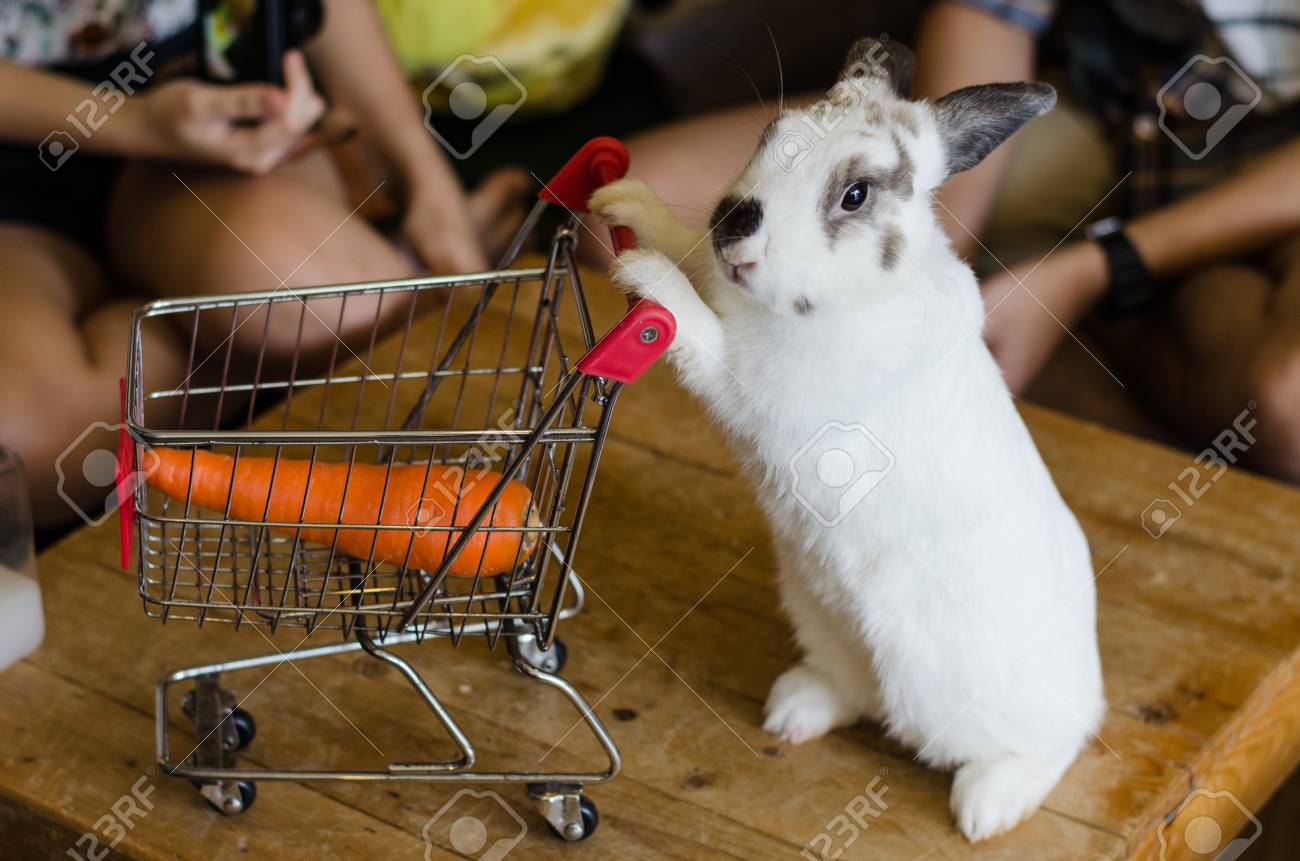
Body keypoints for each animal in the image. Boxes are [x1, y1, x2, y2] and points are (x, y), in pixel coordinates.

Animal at [590, 36, 1105, 842]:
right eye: (769, 136)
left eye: (856, 195)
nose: (736, 221)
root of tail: (1085, 686)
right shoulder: (719, 275)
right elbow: (690, 253)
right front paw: (627, 203)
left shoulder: (751, 384)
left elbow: (697, 327)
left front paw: (646, 274)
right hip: (821, 614)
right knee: (854, 692)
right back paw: (793, 712)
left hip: (953, 697)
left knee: (1050, 746)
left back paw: (987, 805)